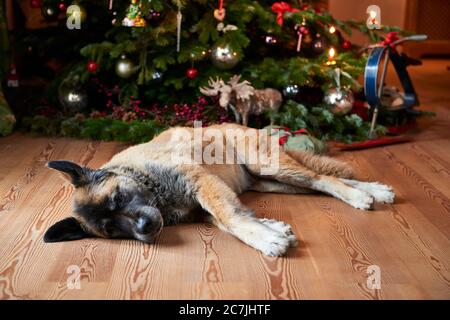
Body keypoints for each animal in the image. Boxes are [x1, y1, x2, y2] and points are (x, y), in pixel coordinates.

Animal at [44, 124, 394, 256]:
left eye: (118, 197)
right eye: (110, 229)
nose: (145, 229)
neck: (145, 180)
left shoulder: (202, 183)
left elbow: (231, 218)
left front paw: (268, 240)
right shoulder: (205, 205)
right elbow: (232, 219)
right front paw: (272, 229)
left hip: (268, 166)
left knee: (323, 179)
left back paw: (360, 196)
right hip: (272, 181)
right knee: (320, 181)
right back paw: (373, 190)